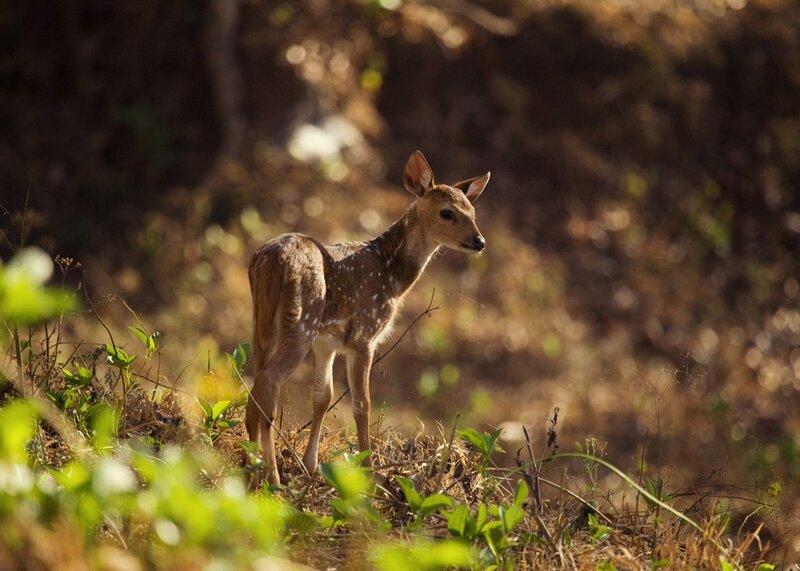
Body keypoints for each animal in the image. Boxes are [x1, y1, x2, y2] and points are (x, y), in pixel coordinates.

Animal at [246, 150, 490, 485]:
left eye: (473, 212)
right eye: (447, 213)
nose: (479, 241)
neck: (393, 276)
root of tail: (271, 260)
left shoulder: (326, 341)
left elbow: (323, 396)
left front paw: (310, 466)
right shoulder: (364, 334)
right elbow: (363, 404)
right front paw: (369, 472)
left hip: (262, 321)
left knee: (256, 379)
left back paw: (249, 464)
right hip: (300, 321)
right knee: (270, 379)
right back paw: (272, 476)